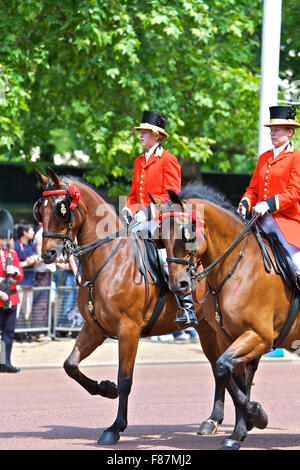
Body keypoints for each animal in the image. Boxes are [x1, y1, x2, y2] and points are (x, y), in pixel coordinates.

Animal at [34, 167, 237, 446]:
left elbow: (125, 379)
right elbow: (71, 365)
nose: (48, 254)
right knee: (219, 365)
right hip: (207, 329)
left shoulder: (128, 331)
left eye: (60, 209)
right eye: (40, 211)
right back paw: (213, 420)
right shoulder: (95, 329)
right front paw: (105, 388)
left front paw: (116, 426)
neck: (109, 261)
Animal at [152, 180, 300, 448]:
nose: (178, 285)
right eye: (160, 237)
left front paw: (256, 416)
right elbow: (229, 375)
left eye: (186, 234)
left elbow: (224, 370)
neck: (241, 268)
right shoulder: (228, 337)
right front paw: (239, 431)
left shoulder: (259, 337)